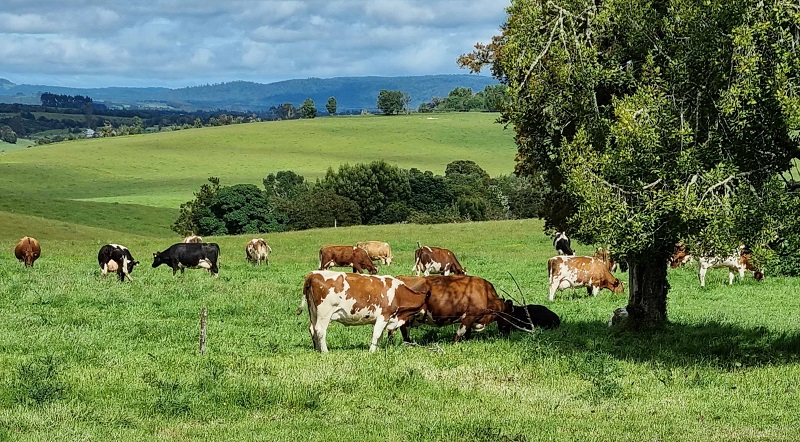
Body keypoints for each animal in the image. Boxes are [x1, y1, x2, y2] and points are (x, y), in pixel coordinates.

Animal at [298, 270, 428, 352]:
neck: (398, 293)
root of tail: (313, 274)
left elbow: (380, 336)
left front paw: (377, 349)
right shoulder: (384, 315)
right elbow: (376, 334)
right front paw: (372, 351)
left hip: (313, 312)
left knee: (312, 329)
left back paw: (317, 349)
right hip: (325, 313)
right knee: (320, 330)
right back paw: (325, 351)